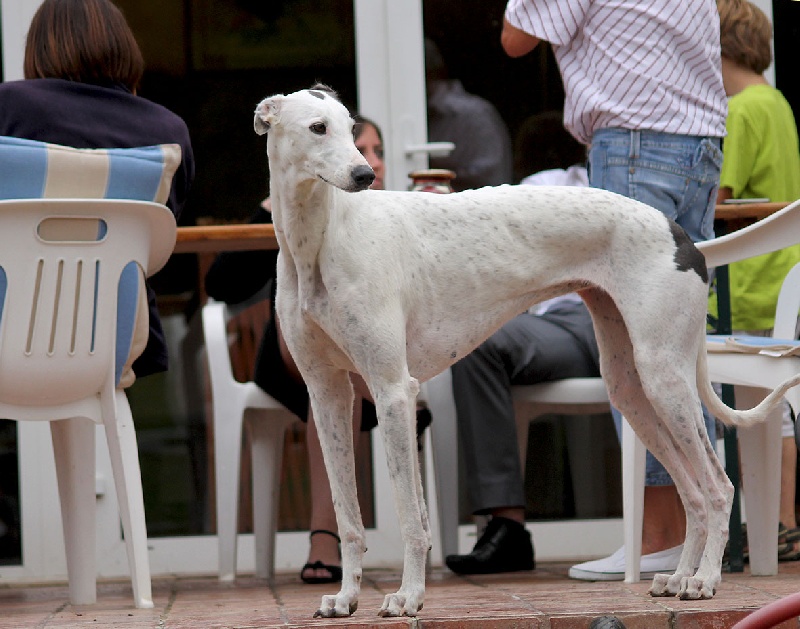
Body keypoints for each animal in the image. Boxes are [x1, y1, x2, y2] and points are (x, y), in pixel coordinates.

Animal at [253, 84, 800, 620]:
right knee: (691, 491)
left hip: (664, 376)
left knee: (717, 486)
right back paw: (680, 577)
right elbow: (347, 513)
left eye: (350, 127)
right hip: (631, 388)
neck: (320, 240)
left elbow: (412, 513)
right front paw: (345, 598)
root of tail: (682, 235)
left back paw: (705, 580)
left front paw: (408, 597)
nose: (364, 174)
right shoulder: (327, 395)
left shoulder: (392, 391)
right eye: (318, 127)